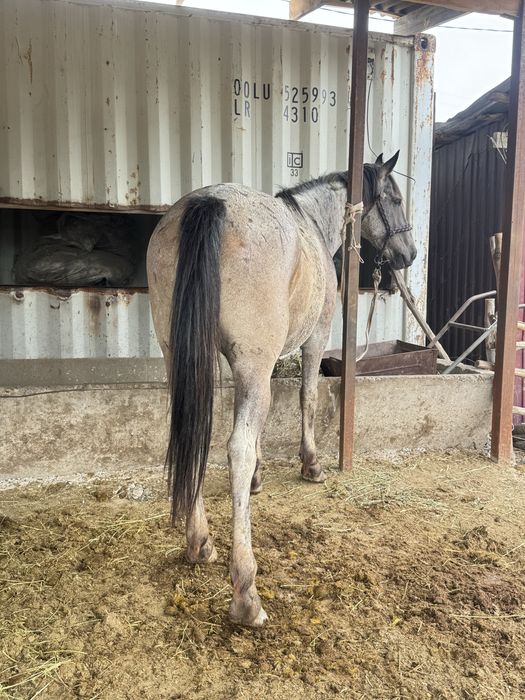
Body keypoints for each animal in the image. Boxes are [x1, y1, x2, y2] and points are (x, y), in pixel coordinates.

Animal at [146, 151, 416, 627]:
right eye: (396, 199)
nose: (409, 254)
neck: (311, 224)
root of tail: (209, 203)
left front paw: (258, 478)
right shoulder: (312, 340)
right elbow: (307, 398)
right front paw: (311, 464)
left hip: (182, 357)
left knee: (192, 433)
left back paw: (199, 543)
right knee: (235, 448)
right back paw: (246, 594)